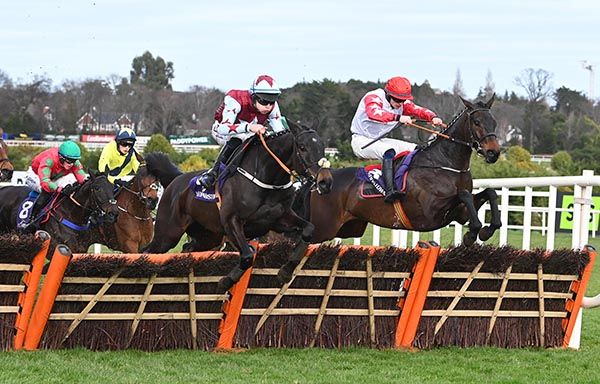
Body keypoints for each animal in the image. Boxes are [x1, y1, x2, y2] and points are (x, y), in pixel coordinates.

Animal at [144, 123, 336, 292]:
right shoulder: (232, 221)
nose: (325, 182)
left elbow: (308, 230)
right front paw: (225, 282)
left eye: (322, 147)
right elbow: (247, 256)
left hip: (208, 236)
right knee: (147, 251)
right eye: (302, 147)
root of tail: (176, 180)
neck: (266, 179)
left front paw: (285, 272)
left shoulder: (278, 220)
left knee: (187, 248)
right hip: (167, 233)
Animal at [300, 95, 502, 246]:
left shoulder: (460, 213)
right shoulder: (430, 212)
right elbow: (464, 194)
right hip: (322, 227)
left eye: (494, 122)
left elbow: (489, 193)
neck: (444, 164)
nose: (493, 152)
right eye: (476, 121)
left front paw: (485, 230)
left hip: (348, 227)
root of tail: (319, 183)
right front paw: (473, 233)